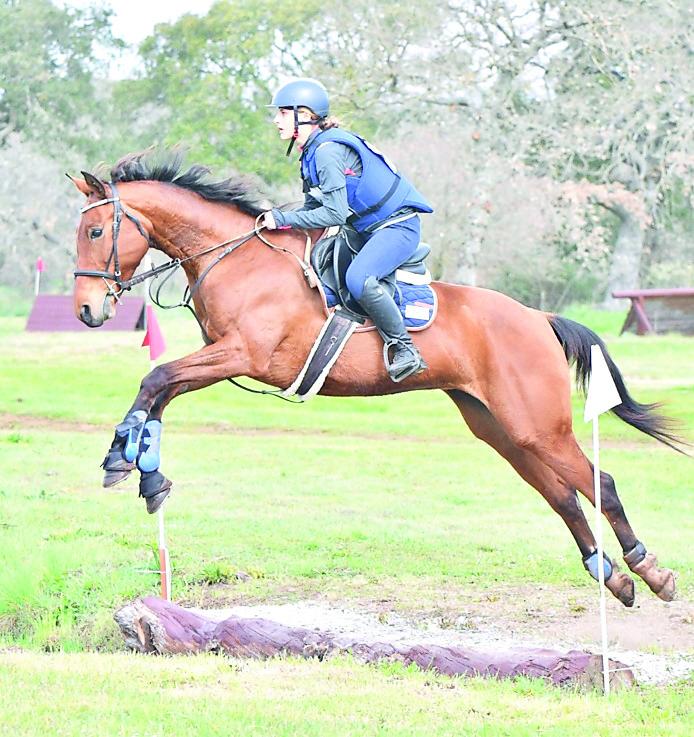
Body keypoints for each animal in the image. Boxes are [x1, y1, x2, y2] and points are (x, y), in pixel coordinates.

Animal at [70, 150, 684, 609]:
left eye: (96, 230)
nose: (86, 311)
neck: (239, 261)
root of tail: (539, 318)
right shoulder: (221, 358)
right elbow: (160, 392)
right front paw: (140, 470)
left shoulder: (241, 354)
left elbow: (156, 378)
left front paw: (122, 460)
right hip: (502, 429)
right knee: (563, 497)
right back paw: (614, 577)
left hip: (539, 425)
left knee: (601, 485)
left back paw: (649, 571)